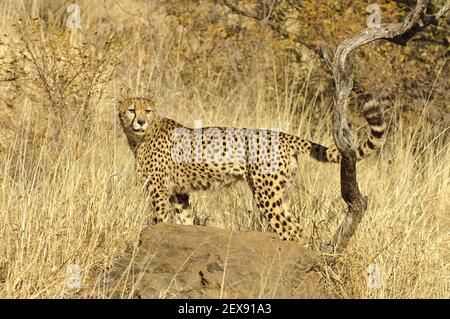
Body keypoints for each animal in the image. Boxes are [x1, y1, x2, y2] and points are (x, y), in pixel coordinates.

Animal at [118, 98, 384, 242]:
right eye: (131, 109)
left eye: (147, 111)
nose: (140, 121)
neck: (139, 136)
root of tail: (282, 134)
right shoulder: (178, 193)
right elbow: (184, 220)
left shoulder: (158, 192)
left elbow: (159, 220)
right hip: (279, 191)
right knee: (296, 226)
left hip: (266, 192)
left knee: (290, 229)